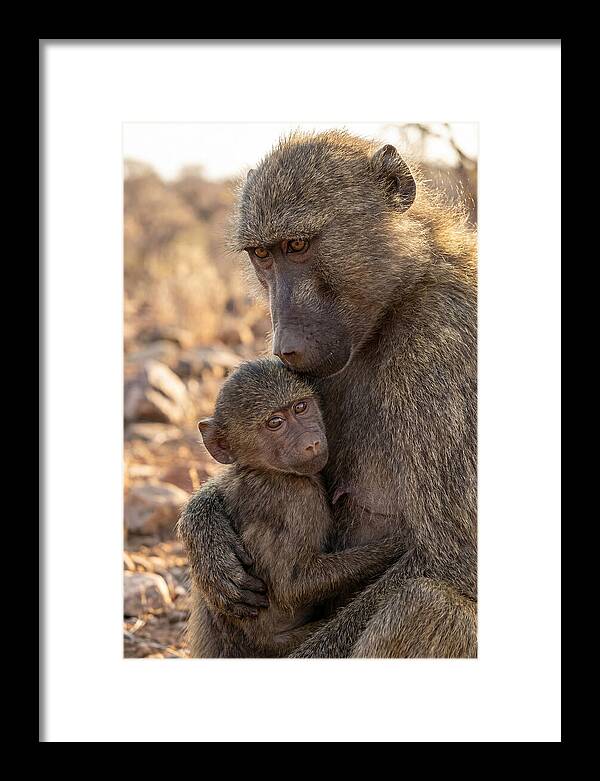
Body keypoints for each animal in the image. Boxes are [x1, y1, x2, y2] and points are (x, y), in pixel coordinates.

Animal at [180, 357, 405, 658]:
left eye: (301, 407)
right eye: (275, 423)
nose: (312, 443)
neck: (264, 470)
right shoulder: (298, 499)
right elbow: (293, 586)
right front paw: (399, 544)